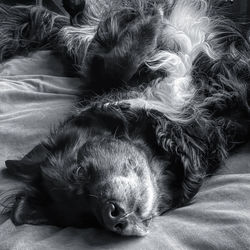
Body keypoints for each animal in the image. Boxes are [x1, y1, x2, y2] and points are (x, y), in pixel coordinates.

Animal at [0, 0, 250, 235]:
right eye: (88, 220)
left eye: (78, 172)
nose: (113, 218)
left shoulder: (102, 77)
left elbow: (114, 63)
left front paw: (151, 20)